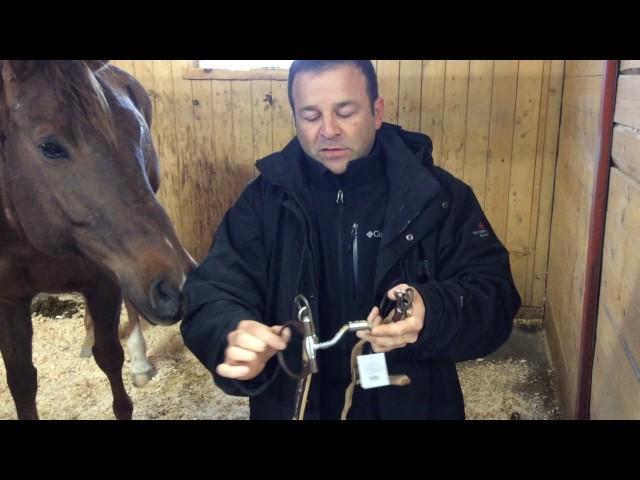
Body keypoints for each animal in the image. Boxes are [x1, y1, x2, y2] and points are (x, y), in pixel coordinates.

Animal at [0, 61, 195, 420]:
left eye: (136, 130)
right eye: (50, 146)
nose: (180, 286)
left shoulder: (105, 281)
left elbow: (111, 358)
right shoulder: (8, 301)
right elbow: (21, 381)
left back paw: (139, 362)